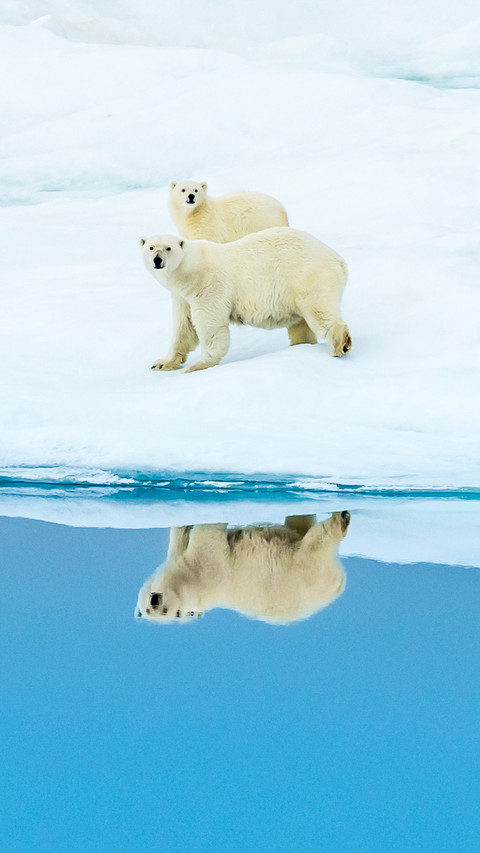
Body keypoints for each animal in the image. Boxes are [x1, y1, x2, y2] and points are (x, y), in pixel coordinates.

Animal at [134, 512, 350, 625]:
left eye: (166, 611)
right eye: (147, 608)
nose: (156, 601)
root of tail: (339, 584)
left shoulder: (206, 566)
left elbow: (203, 532)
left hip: (306, 570)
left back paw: (341, 518)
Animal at [139, 227, 352, 373]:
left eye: (168, 248)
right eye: (151, 247)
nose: (157, 260)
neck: (192, 270)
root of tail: (338, 260)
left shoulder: (209, 287)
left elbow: (210, 325)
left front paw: (199, 365)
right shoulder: (182, 296)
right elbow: (185, 327)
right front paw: (162, 363)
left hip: (307, 277)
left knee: (319, 312)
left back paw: (340, 344)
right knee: (301, 324)